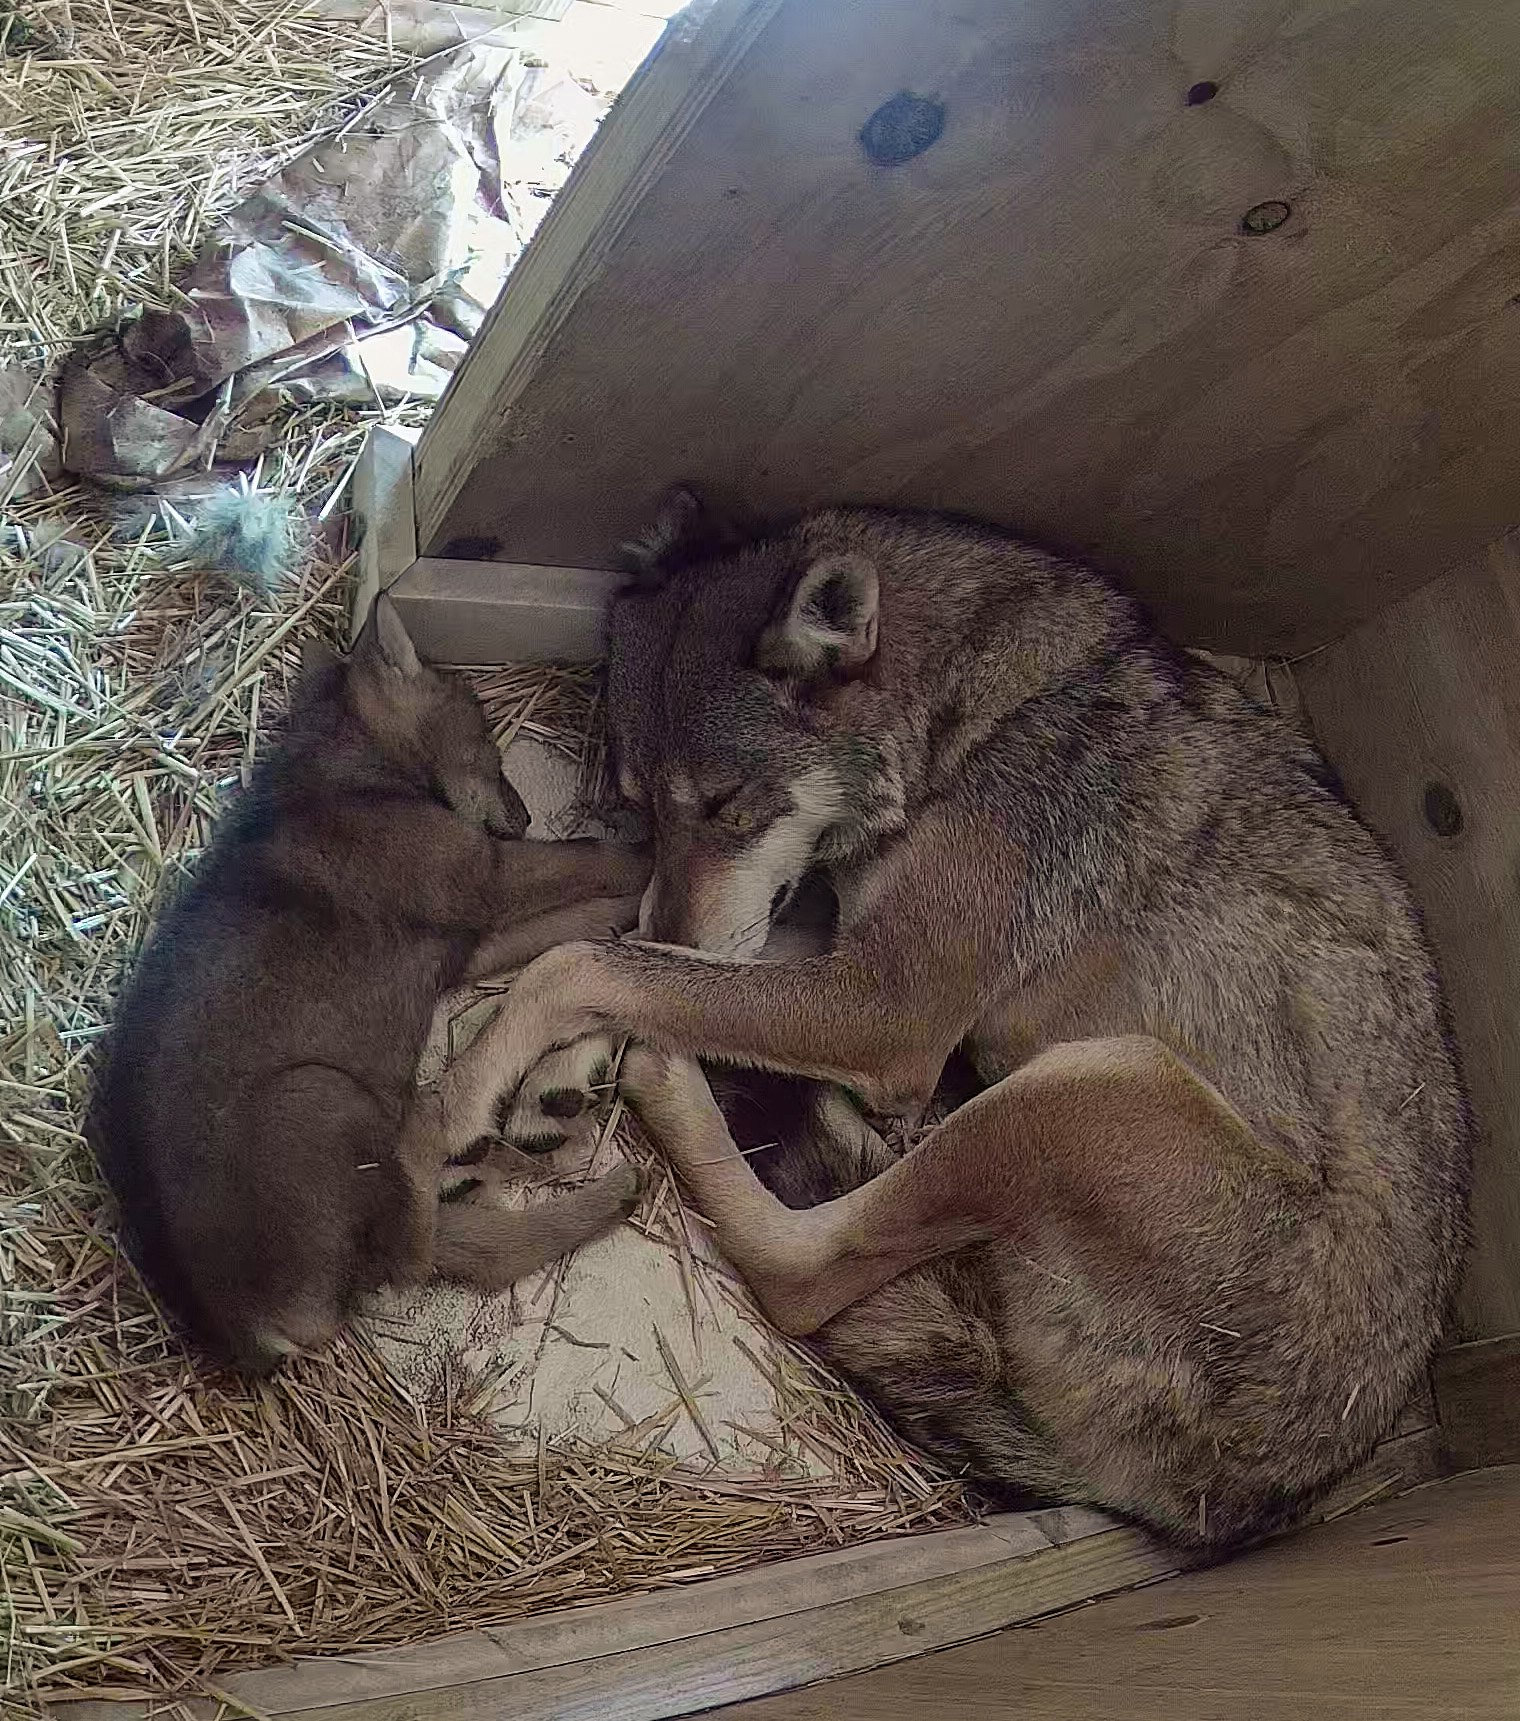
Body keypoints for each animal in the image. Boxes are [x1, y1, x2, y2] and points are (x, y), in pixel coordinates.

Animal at [89, 598, 647, 1376]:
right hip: (321, 1092)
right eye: (484, 731)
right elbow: (591, 855)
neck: (352, 770)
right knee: (420, 1246)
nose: (524, 814)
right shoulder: (486, 874)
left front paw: (623, 924)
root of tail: (250, 1330)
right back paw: (440, 1130)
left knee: (456, 1242)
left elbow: (570, 920)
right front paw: (656, 857)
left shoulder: (468, 939)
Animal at [440, 499, 1473, 1548]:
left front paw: (468, 1089)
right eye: (640, 808)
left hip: (1098, 1081)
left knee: (802, 1271)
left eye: (728, 806)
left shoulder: (889, 1007)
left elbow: (587, 961)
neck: (970, 725)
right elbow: (641, 956)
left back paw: (677, 1082)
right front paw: (565, 1064)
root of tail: (1206, 1502)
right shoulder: (837, 952)